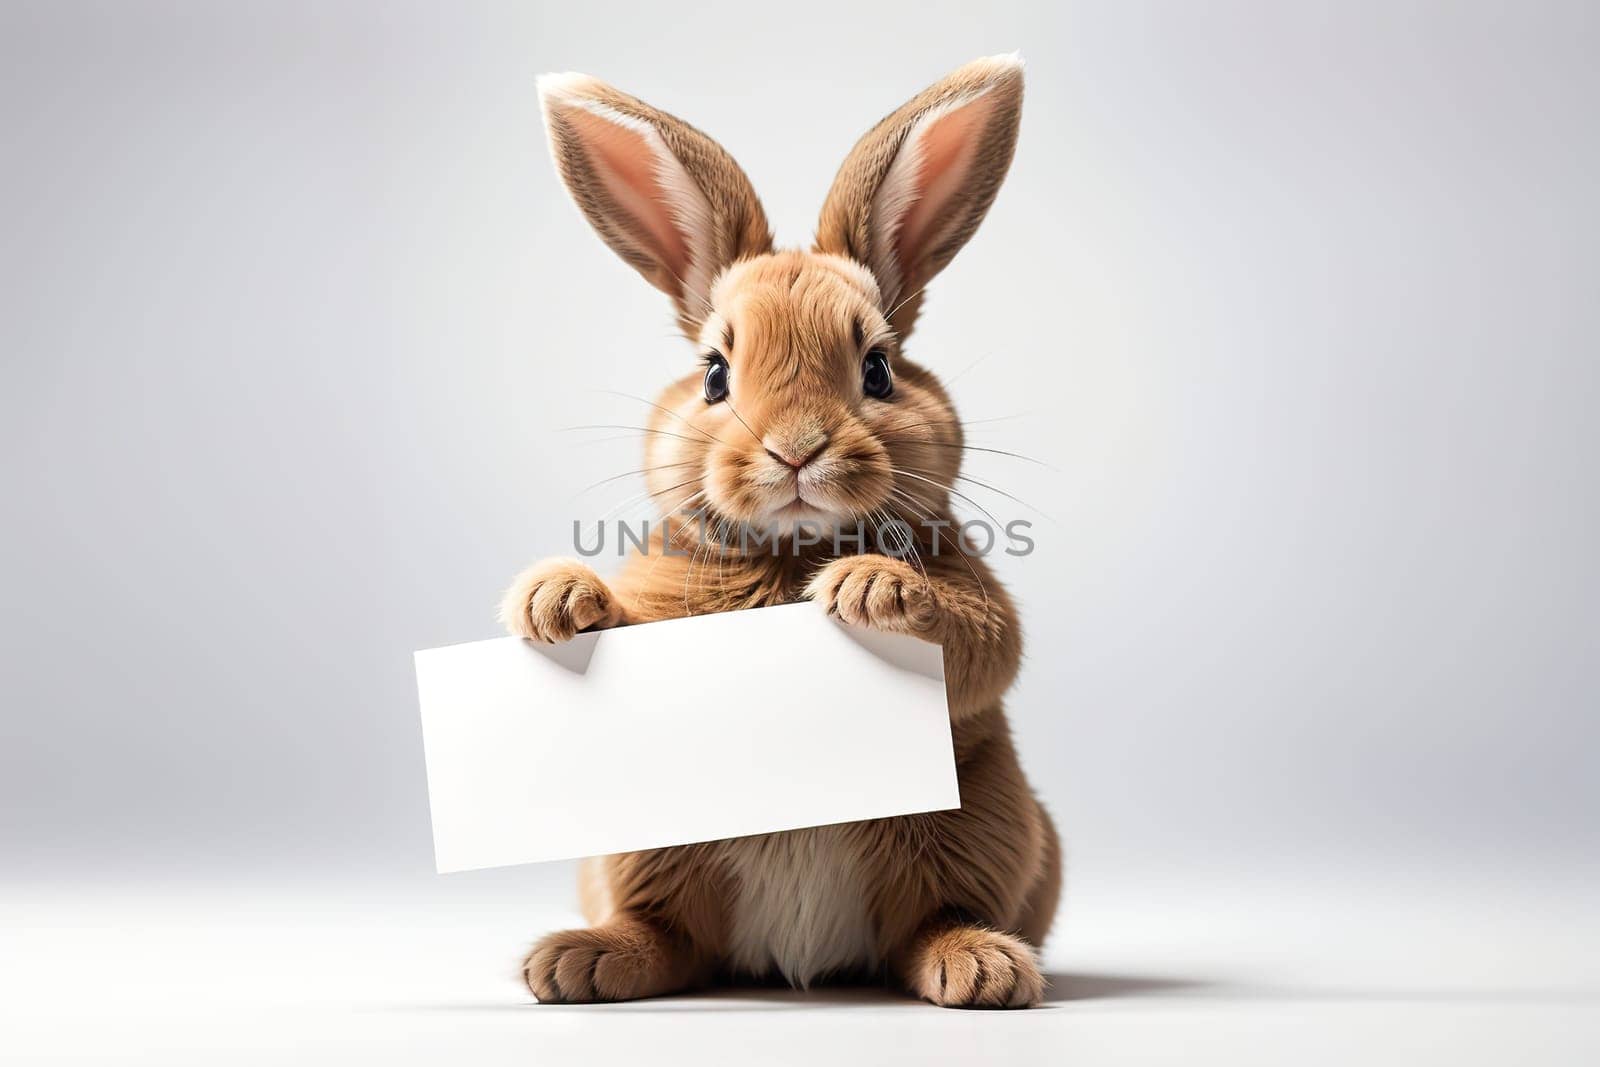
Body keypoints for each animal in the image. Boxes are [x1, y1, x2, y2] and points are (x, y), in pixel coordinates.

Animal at [502, 54, 1062, 1011]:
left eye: (877, 368)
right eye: (715, 375)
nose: (796, 449)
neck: (793, 546)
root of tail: (796, 959)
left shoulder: (975, 593)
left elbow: (984, 640)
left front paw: (871, 587)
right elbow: (619, 610)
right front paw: (554, 597)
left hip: (982, 824)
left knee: (924, 926)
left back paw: (981, 964)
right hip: (643, 848)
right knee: (671, 937)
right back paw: (579, 960)